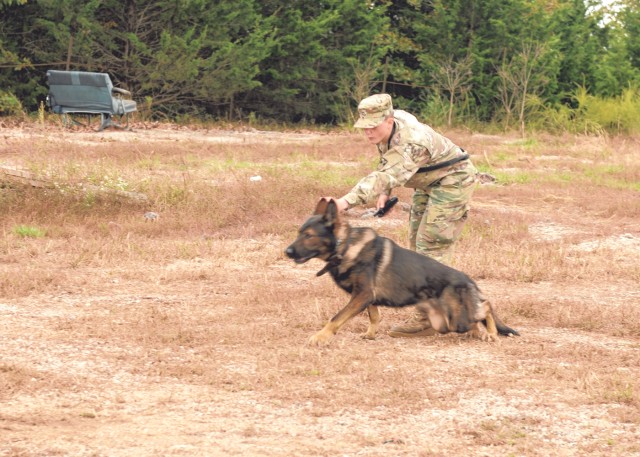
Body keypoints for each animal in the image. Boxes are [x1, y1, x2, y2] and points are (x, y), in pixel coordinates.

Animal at [286, 198, 520, 344]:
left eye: (308, 235)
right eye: (299, 233)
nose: (286, 252)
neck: (344, 246)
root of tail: (470, 281)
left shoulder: (362, 294)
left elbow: (336, 318)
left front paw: (320, 337)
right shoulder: (366, 297)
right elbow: (374, 316)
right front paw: (370, 334)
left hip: (455, 319)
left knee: (486, 306)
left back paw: (490, 333)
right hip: (445, 322)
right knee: (476, 317)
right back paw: (476, 333)